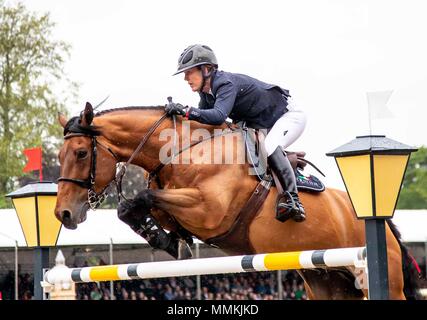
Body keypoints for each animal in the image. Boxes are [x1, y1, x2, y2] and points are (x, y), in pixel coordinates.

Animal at [56, 102, 422, 300]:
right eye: (59, 155)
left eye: (81, 152)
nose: (64, 214)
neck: (183, 150)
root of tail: (382, 223)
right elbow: (135, 208)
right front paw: (169, 240)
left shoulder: (208, 211)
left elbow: (139, 199)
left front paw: (168, 240)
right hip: (326, 280)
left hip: (382, 279)